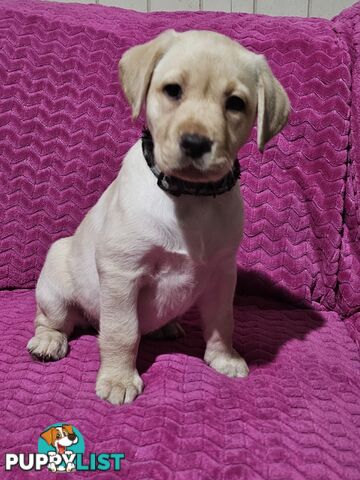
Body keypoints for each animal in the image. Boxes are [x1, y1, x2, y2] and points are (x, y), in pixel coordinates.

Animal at [26, 30, 288, 404]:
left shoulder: (223, 273)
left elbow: (223, 320)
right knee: (51, 319)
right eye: (173, 90)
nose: (195, 143)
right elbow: (122, 331)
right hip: (56, 289)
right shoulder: (122, 272)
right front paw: (119, 379)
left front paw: (224, 358)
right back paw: (48, 341)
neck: (190, 196)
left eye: (236, 103)